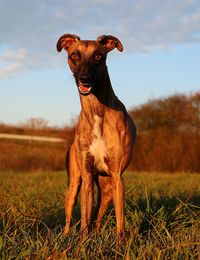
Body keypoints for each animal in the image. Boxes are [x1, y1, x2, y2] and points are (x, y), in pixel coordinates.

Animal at [57, 34, 137, 238]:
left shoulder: (117, 176)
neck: (96, 111)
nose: (84, 79)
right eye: (75, 55)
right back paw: (67, 235)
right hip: (74, 184)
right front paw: (83, 240)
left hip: (107, 188)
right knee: (72, 216)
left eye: (98, 56)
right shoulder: (86, 174)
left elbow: (120, 217)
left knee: (98, 218)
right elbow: (84, 217)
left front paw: (120, 242)